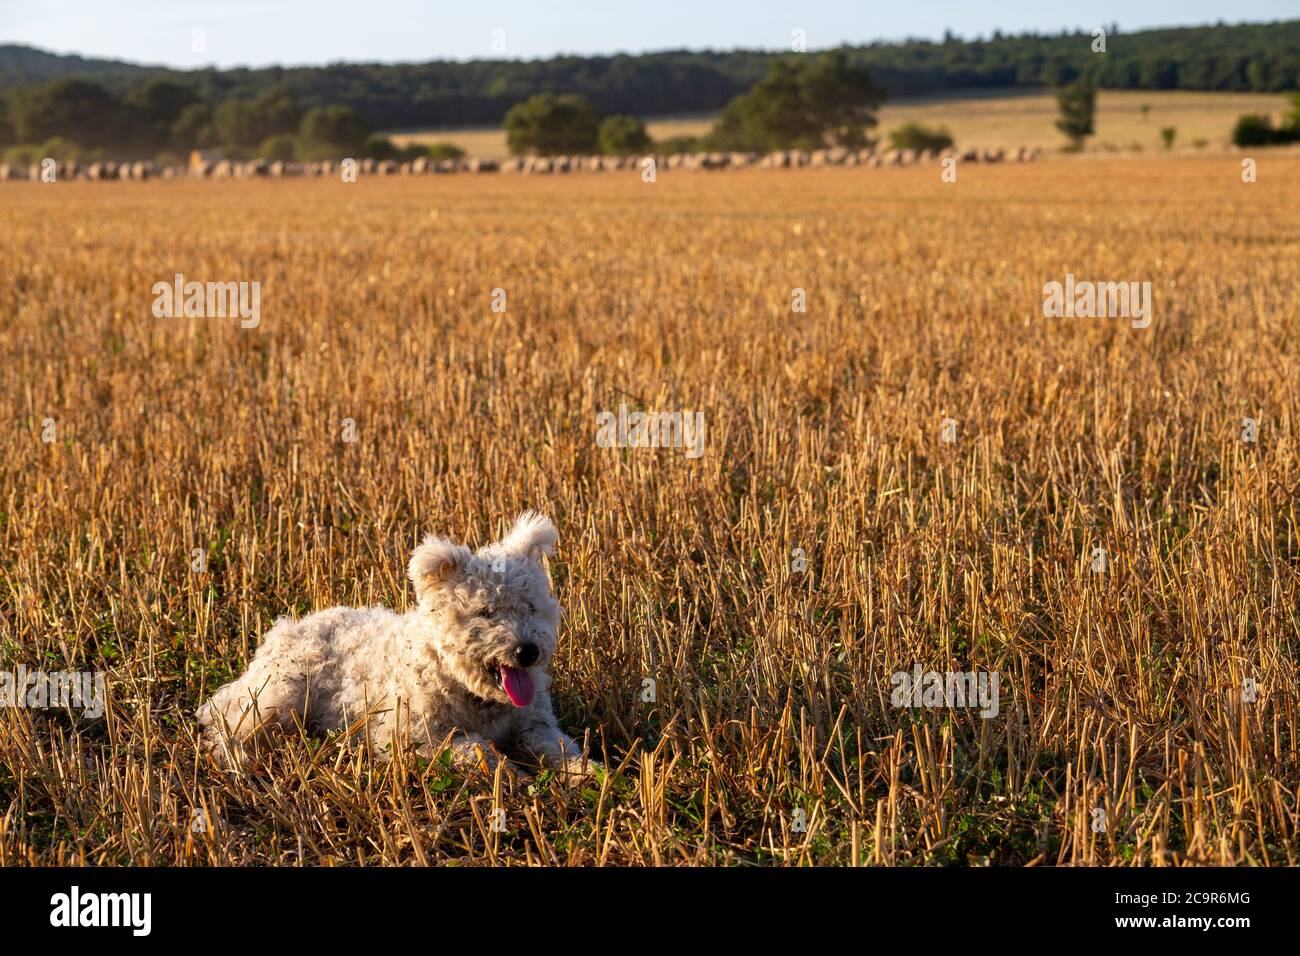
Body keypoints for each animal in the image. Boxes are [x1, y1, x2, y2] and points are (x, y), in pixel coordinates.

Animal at [196, 512, 598, 775]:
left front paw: (587, 772)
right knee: (229, 725)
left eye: (531, 606)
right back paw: (236, 758)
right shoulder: (409, 737)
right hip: (279, 696)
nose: (527, 651)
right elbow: (477, 750)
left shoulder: (535, 724)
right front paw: (511, 775)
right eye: (486, 612)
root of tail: (284, 630)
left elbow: (560, 747)